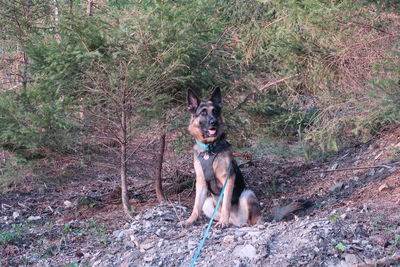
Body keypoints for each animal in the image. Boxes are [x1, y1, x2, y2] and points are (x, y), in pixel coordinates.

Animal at [179, 88, 260, 228]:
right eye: (203, 112)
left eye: (215, 111)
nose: (214, 122)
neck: (209, 149)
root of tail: (236, 220)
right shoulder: (201, 182)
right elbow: (196, 206)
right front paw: (190, 220)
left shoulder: (228, 179)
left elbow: (226, 203)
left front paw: (223, 221)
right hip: (207, 203)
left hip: (247, 193)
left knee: (252, 220)